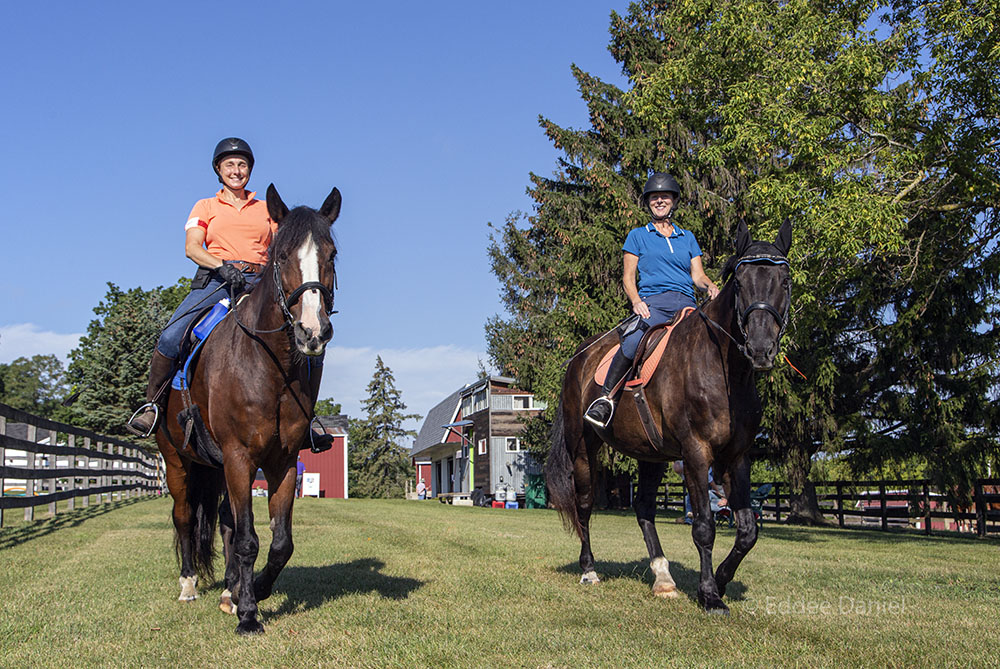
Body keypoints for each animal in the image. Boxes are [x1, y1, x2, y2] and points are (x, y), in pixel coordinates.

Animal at [156, 185, 342, 636]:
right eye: (281, 255)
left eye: (331, 255)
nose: (313, 332)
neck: (268, 364)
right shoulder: (240, 457)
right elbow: (247, 540)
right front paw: (248, 615)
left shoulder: (282, 462)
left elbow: (279, 543)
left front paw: (252, 590)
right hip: (177, 462)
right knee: (184, 517)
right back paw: (189, 585)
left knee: (223, 520)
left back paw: (228, 589)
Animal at [548, 222, 788, 612]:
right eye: (740, 281)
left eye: (784, 280)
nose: (760, 349)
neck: (723, 369)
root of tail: (580, 357)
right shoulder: (696, 452)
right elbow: (704, 526)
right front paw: (709, 595)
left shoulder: (737, 457)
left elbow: (748, 530)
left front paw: (721, 581)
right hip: (583, 448)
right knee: (584, 507)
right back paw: (589, 570)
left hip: (651, 455)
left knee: (644, 509)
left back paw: (662, 577)